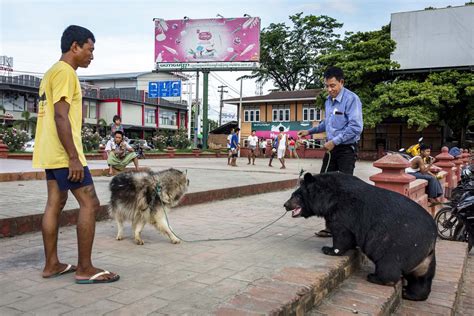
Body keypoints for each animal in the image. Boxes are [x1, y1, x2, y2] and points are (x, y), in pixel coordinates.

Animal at [286, 172, 436, 300]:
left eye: (296, 196)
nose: (285, 205)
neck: (329, 196)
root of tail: (431, 238)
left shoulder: (344, 211)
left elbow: (342, 234)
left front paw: (329, 249)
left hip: (398, 244)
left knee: (389, 265)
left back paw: (375, 277)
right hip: (424, 259)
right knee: (422, 277)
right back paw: (410, 293)